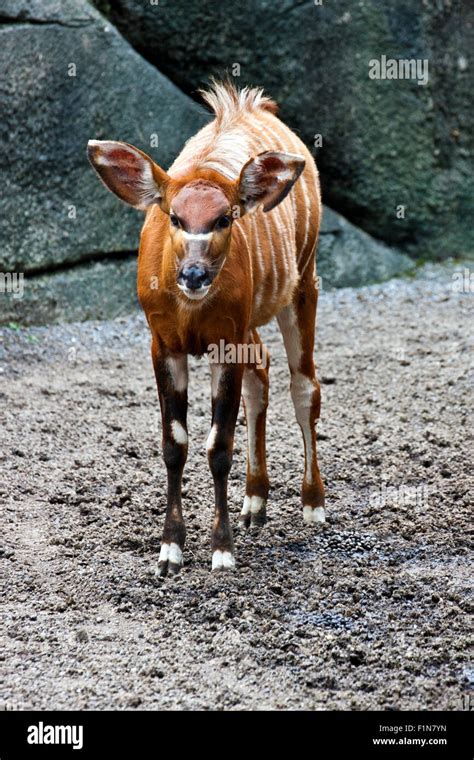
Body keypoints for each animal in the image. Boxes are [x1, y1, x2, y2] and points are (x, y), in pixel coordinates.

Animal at [87, 80, 326, 576]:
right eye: (175, 217)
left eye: (224, 217)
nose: (194, 275)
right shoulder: (165, 345)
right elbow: (174, 443)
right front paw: (169, 552)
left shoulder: (224, 345)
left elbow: (219, 445)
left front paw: (222, 552)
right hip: (252, 323)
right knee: (264, 372)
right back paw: (255, 504)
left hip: (303, 282)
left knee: (304, 383)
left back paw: (313, 504)